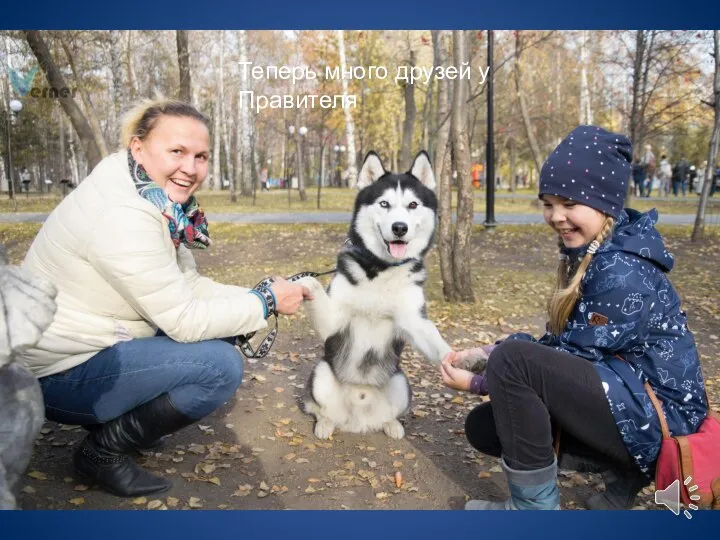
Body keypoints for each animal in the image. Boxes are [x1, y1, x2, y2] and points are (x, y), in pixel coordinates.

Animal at [298, 151, 450, 438]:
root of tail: (358, 420)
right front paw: (299, 282)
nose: (400, 228)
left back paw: (392, 425)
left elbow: (437, 345)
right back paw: (325, 424)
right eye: (384, 204)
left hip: (401, 381)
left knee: (389, 415)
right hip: (321, 371)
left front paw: (461, 361)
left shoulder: (415, 320)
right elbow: (313, 287)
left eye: (413, 205)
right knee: (319, 409)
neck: (381, 269)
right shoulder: (333, 321)